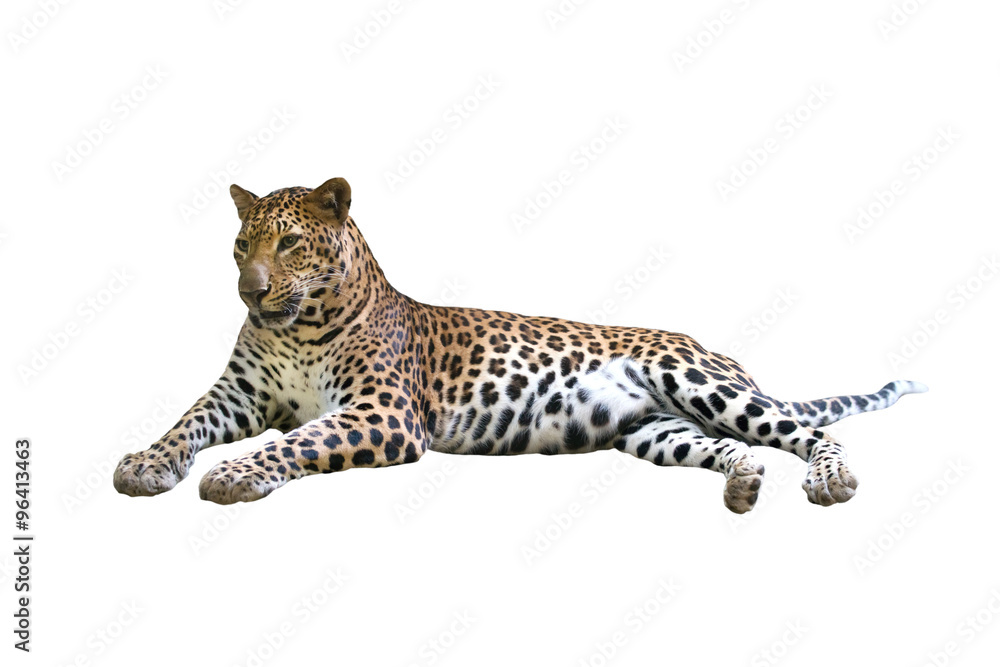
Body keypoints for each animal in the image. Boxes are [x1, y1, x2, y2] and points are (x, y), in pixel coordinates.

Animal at [113, 177, 927, 513]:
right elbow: (186, 422)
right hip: (654, 429)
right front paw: (145, 464)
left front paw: (233, 474)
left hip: (698, 380)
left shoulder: (383, 412)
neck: (299, 325)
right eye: (240, 245)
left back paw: (830, 482)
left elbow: (298, 439)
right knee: (733, 446)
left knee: (809, 430)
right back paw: (743, 486)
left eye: (287, 243)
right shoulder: (239, 392)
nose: (250, 292)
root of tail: (714, 348)